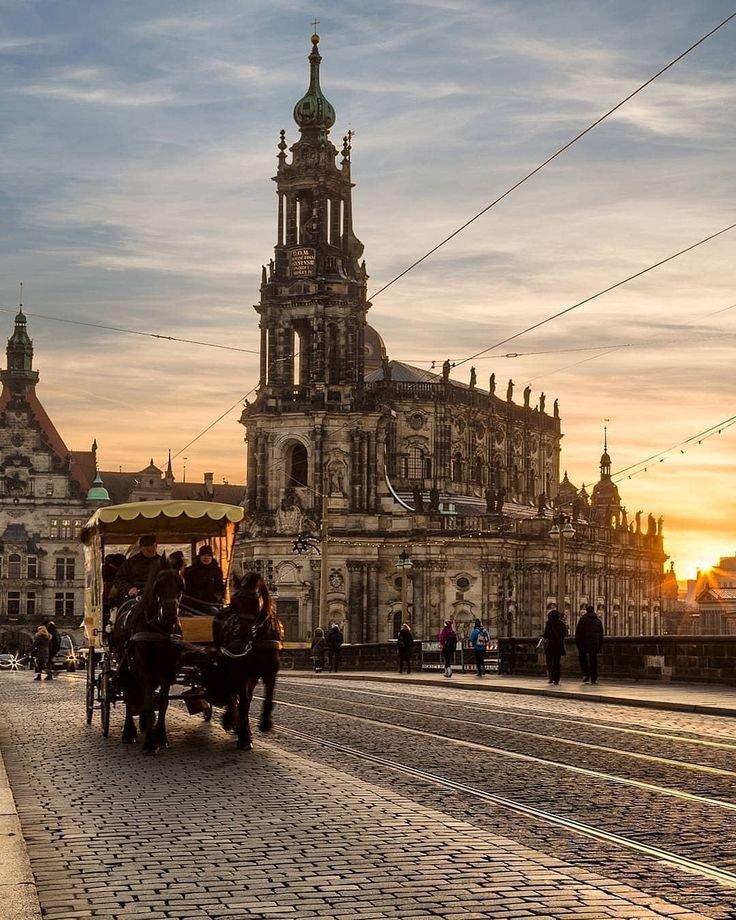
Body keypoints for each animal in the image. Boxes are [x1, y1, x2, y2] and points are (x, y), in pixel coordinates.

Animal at [112, 564, 187, 752]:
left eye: (181, 585)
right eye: (157, 585)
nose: (169, 615)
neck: (159, 629)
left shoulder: (167, 670)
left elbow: (162, 703)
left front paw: (160, 737)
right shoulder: (142, 668)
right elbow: (146, 701)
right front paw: (150, 743)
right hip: (126, 668)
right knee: (129, 695)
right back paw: (129, 732)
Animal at [213, 572, 284, 752]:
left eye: (254, 601)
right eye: (235, 603)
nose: (241, 636)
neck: (257, 638)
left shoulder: (270, 671)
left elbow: (268, 697)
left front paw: (265, 724)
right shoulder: (241, 671)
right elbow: (243, 702)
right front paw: (244, 738)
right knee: (234, 693)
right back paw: (231, 720)